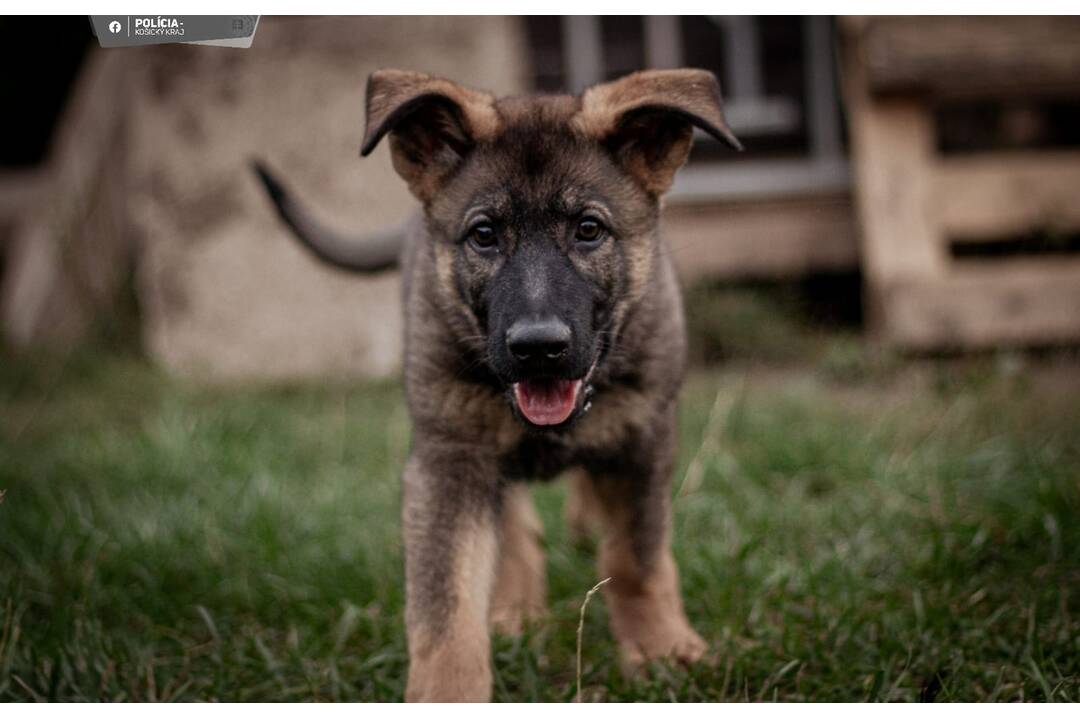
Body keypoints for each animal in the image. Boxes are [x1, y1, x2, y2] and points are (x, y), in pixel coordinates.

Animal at [257, 69, 738, 703]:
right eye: (484, 235)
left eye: (589, 230)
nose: (538, 347)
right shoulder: (449, 461)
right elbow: (446, 601)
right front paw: (446, 693)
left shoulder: (642, 441)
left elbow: (638, 557)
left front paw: (660, 651)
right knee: (510, 523)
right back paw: (515, 608)